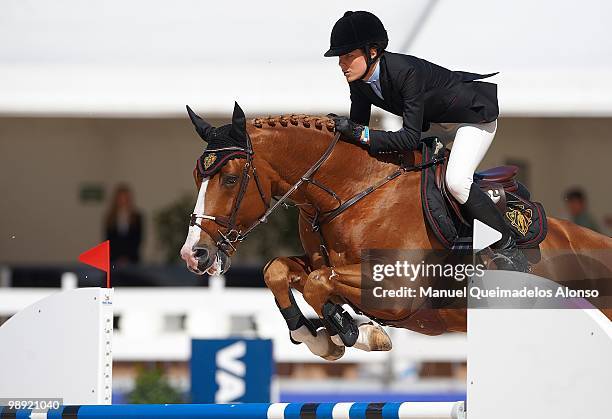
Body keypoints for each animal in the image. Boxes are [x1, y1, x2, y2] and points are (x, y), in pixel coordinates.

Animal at [182, 104, 612, 360]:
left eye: (230, 179)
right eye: (197, 176)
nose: (194, 254)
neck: (354, 190)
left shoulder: (395, 290)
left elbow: (319, 282)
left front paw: (355, 331)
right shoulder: (322, 263)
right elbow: (281, 271)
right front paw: (320, 336)